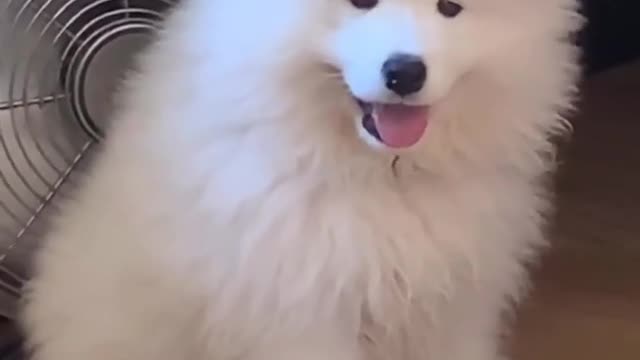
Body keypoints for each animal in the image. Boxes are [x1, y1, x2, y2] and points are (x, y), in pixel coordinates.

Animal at [21, 0, 580, 360]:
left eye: (450, 7)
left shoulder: (452, 310)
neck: (379, 178)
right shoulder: (303, 319)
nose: (404, 72)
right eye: (361, 0)